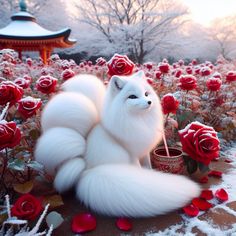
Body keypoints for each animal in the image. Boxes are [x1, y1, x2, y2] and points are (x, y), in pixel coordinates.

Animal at [35, 71, 201, 218]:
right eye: (132, 96)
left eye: (146, 94)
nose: (149, 102)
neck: (139, 121)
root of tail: (86, 168)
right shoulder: (132, 154)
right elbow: (139, 167)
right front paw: (146, 175)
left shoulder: (143, 151)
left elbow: (148, 165)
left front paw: (150, 172)